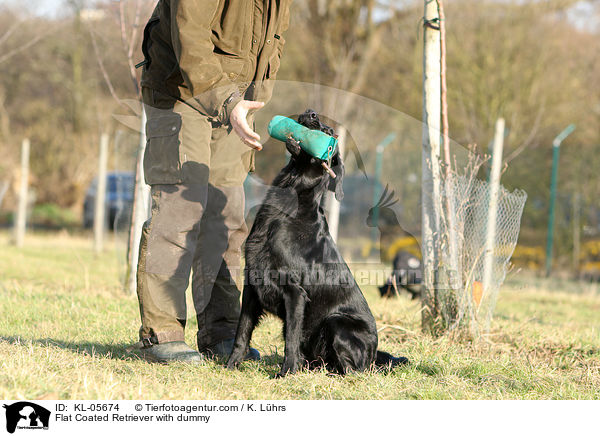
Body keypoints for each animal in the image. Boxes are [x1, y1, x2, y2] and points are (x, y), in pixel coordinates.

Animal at [229, 110, 408, 378]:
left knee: (352, 370)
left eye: (330, 133)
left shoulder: (295, 292)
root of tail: (374, 355)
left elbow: (291, 339)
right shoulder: (252, 282)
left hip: (336, 322)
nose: (311, 113)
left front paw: (286, 373)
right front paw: (229, 365)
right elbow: (242, 332)